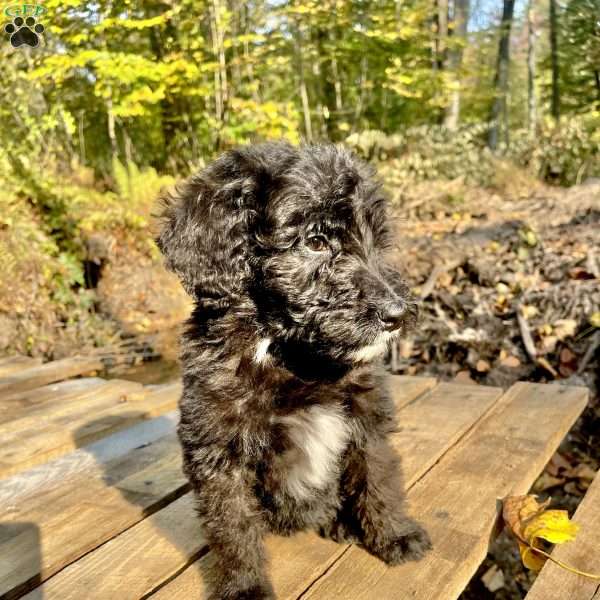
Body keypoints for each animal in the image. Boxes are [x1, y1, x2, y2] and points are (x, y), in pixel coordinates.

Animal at [158, 142, 432, 600]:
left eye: (377, 241)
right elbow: (233, 526)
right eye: (316, 241)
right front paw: (245, 586)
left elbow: (379, 480)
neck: (288, 354)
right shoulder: (219, 448)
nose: (397, 315)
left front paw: (394, 535)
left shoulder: (367, 421)